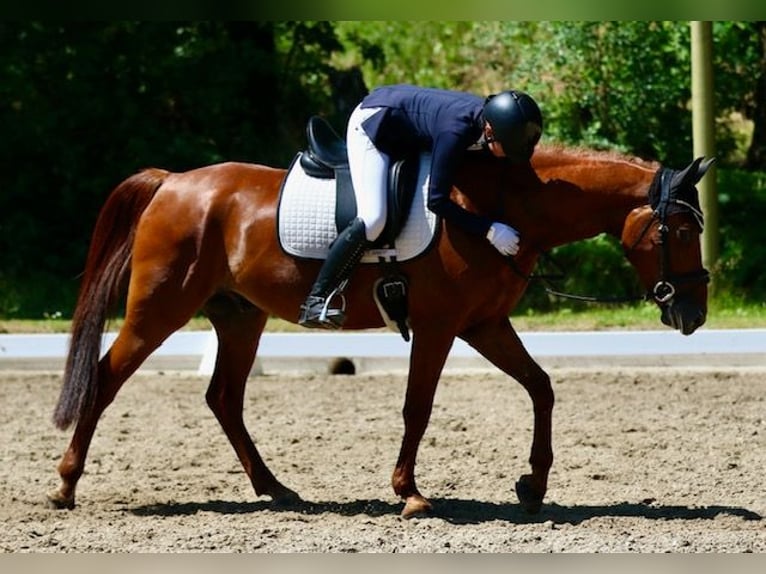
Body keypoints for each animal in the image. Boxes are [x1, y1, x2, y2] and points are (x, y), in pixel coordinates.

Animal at [51, 144, 716, 516]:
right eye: (682, 231)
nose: (694, 314)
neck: (495, 209)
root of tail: (172, 181)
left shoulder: (484, 324)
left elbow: (541, 387)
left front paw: (532, 484)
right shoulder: (440, 326)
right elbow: (417, 406)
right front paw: (410, 493)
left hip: (239, 316)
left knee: (224, 398)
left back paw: (277, 489)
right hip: (159, 309)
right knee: (105, 380)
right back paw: (65, 486)